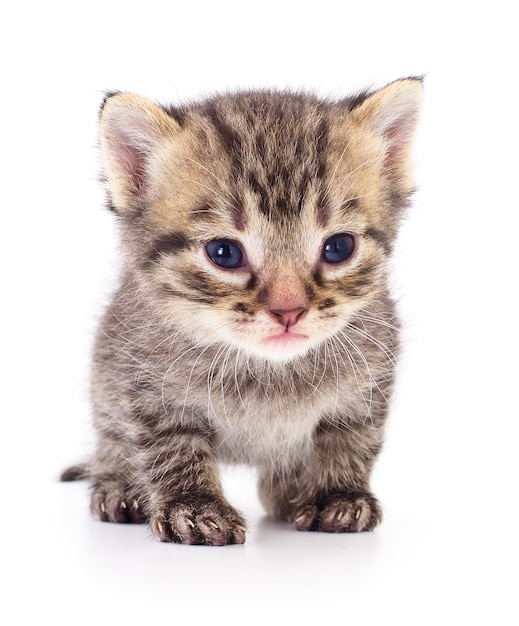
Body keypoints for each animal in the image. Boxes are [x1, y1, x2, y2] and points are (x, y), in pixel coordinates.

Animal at [63, 78, 424, 544]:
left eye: (339, 247)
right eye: (224, 253)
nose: (288, 310)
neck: (268, 372)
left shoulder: (371, 375)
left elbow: (352, 437)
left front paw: (337, 494)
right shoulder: (140, 382)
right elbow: (169, 445)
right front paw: (194, 507)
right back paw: (116, 484)